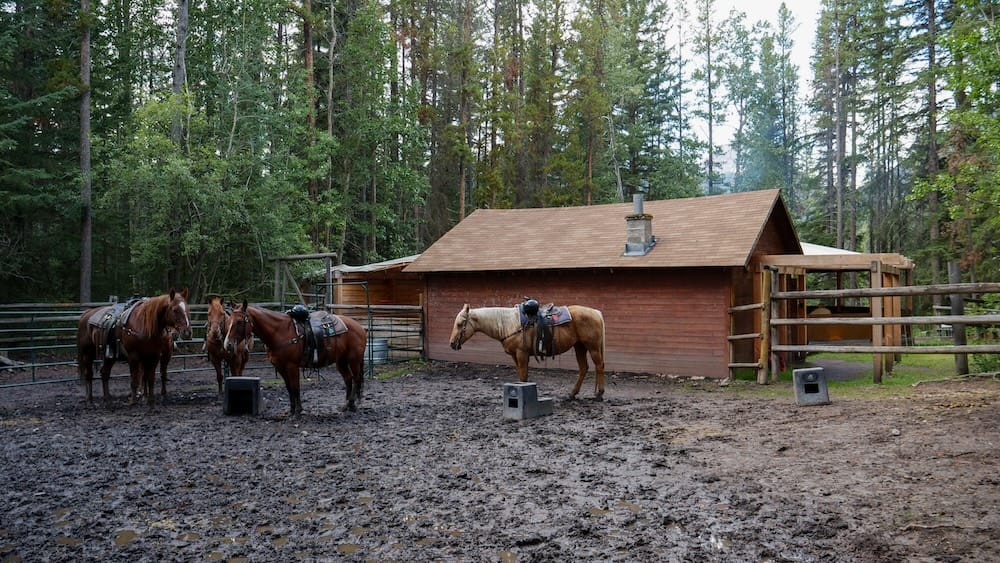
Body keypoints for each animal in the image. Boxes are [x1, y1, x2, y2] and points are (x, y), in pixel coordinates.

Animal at [449, 304, 607, 400]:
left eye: (460, 324)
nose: (452, 343)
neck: (509, 323)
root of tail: (595, 313)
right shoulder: (515, 356)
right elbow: (521, 376)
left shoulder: (522, 354)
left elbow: (524, 376)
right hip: (579, 347)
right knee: (583, 368)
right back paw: (572, 394)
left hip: (592, 347)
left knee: (599, 366)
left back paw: (599, 393)